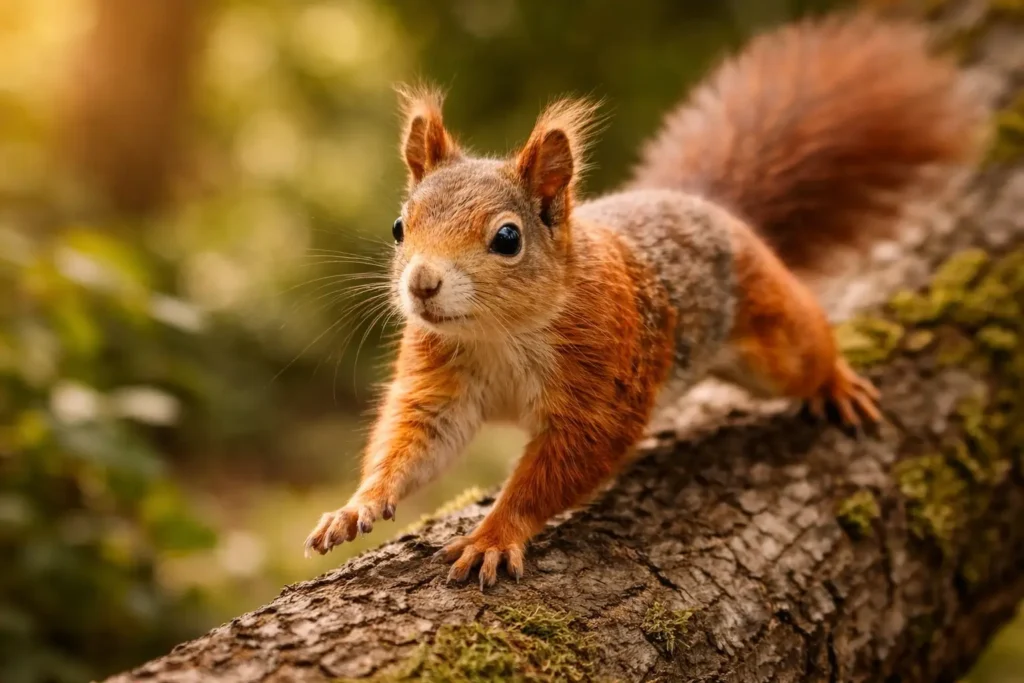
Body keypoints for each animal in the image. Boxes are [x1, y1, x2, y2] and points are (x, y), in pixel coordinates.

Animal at [304, 13, 980, 588]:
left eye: (507, 238)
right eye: (400, 226)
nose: (421, 284)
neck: (500, 332)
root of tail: (706, 206)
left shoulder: (604, 381)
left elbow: (559, 469)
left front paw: (493, 536)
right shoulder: (439, 376)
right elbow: (413, 439)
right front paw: (357, 506)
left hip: (773, 342)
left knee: (807, 344)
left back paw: (837, 382)